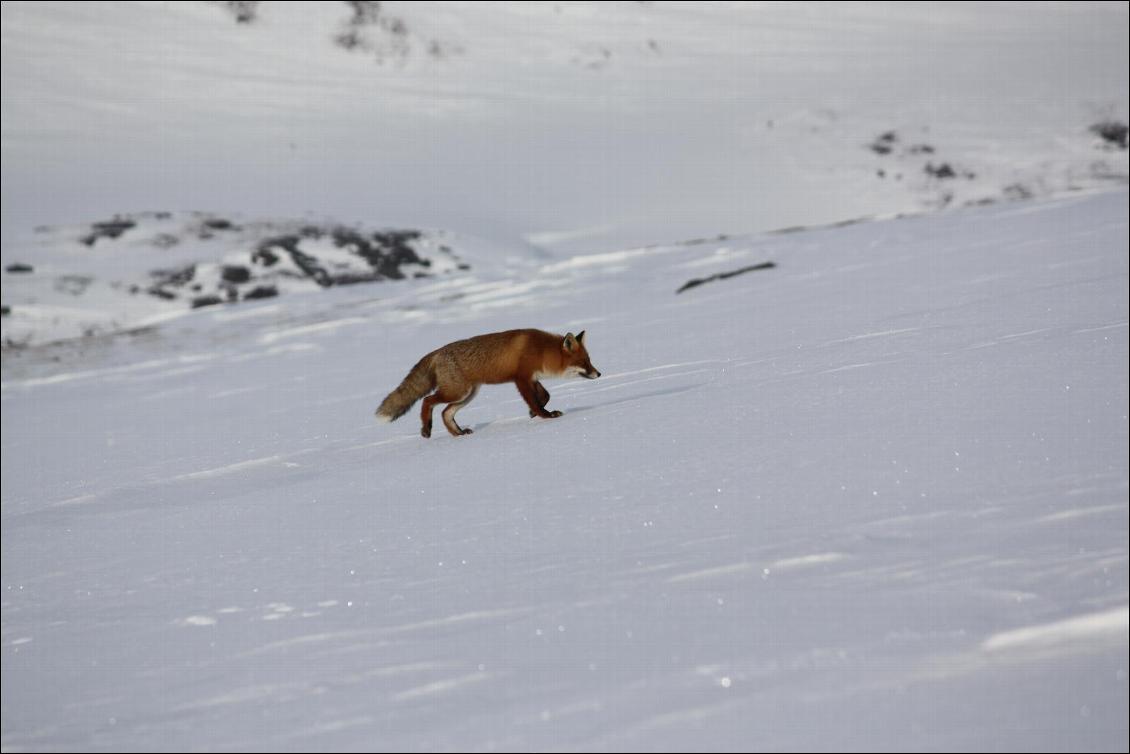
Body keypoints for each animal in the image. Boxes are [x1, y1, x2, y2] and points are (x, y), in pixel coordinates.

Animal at [375, 327, 601, 438]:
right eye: (584, 362)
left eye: (590, 360)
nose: (599, 374)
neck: (541, 350)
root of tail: (437, 352)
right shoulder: (521, 378)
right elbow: (535, 401)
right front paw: (545, 416)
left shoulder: (533, 378)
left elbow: (545, 395)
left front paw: (533, 413)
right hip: (457, 392)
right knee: (428, 401)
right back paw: (426, 429)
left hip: (468, 394)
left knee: (445, 412)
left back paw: (458, 433)